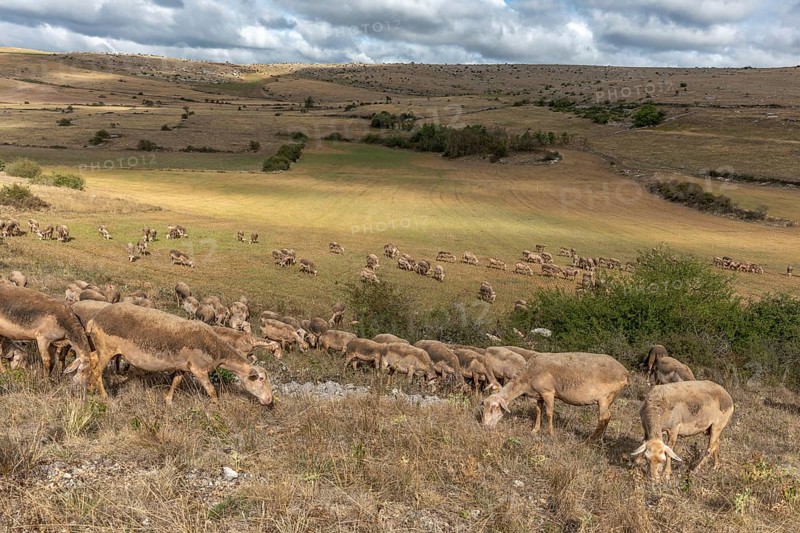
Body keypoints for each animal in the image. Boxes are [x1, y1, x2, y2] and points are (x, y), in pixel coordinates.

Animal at [482, 351, 629, 442]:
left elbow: (549, 413)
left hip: (605, 397)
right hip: (610, 398)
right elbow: (538, 411)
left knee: (604, 417)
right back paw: (600, 439)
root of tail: (624, 372)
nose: (485, 426)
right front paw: (535, 430)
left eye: (494, 407)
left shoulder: (548, 392)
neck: (527, 377)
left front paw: (551, 434)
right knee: (608, 417)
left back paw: (590, 440)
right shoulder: (539, 395)